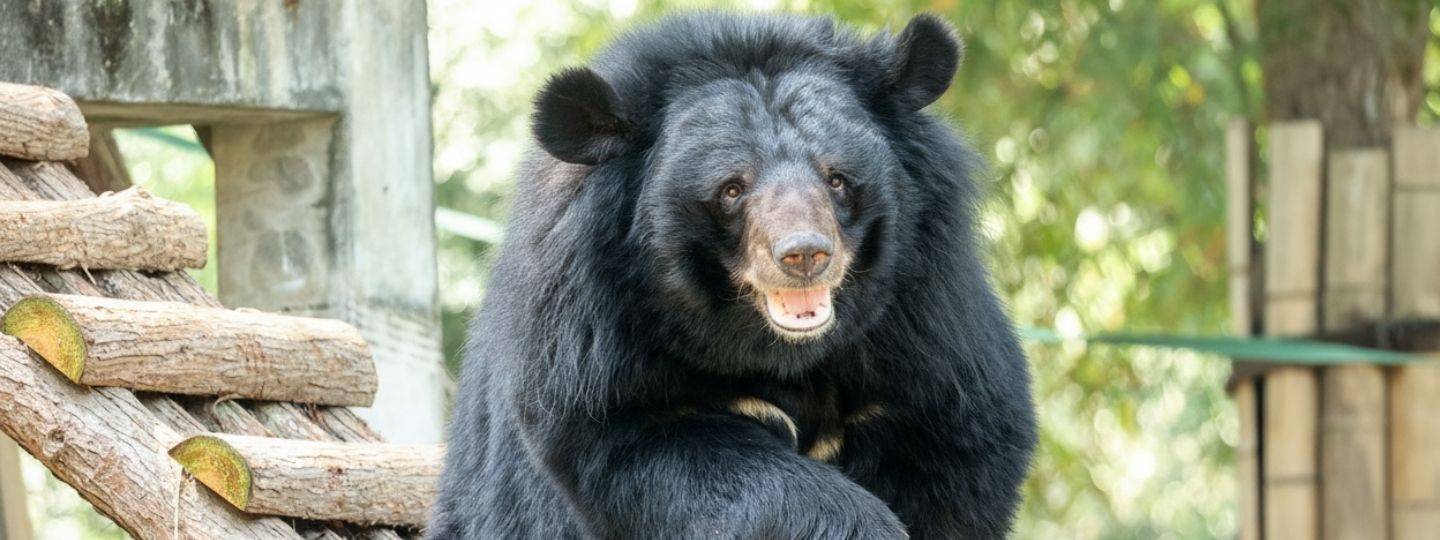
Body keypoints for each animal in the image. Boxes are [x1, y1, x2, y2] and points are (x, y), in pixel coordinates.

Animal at [429, 12, 1037, 540]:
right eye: (731, 189)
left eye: (836, 178)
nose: (805, 254)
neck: (774, 349)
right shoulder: (589, 342)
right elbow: (639, 441)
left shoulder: (929, 307)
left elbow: (959, 438)